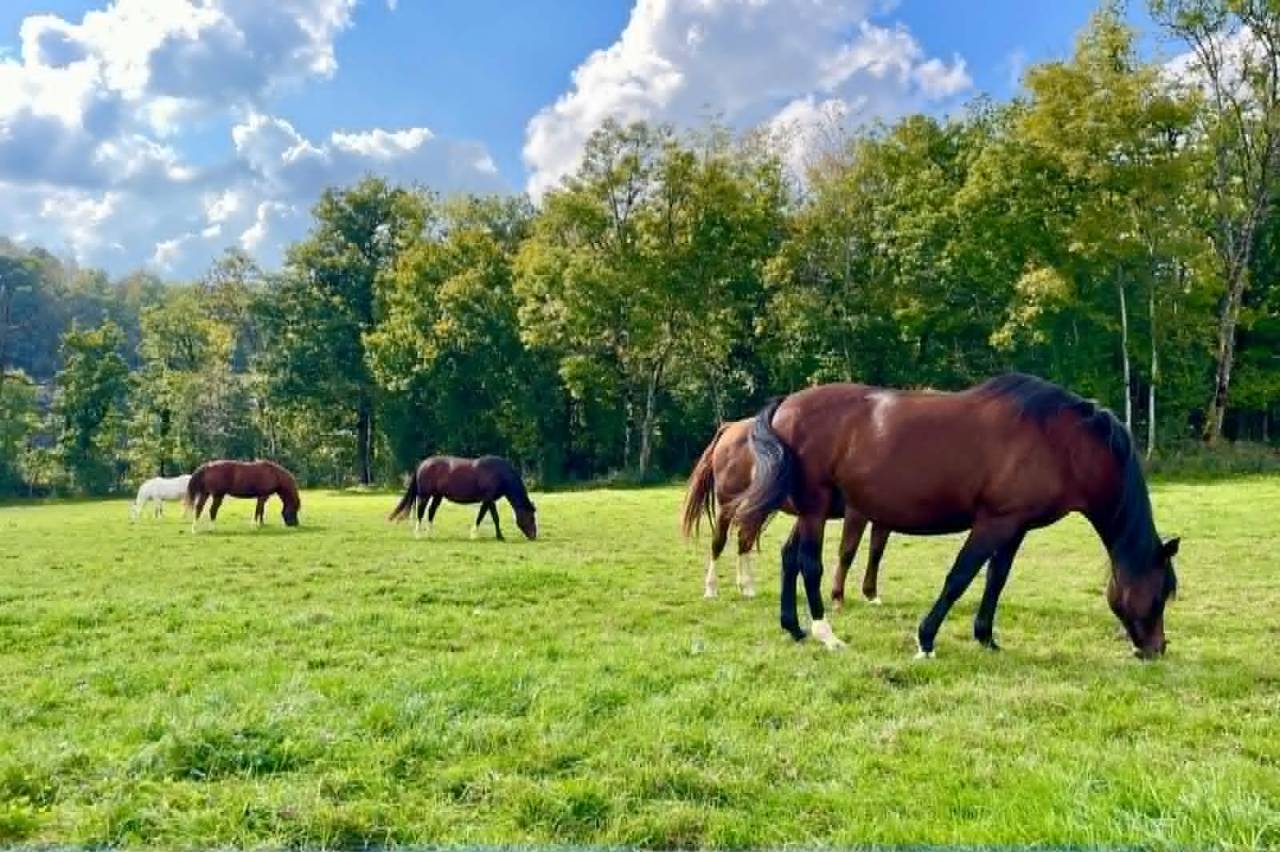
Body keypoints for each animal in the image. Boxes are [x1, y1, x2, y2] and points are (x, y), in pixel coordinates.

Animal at [388, 455, 537, 541]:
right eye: (531, 517)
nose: (534, 536)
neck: (499, 473)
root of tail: (422, 464)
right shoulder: (489, 499)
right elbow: (493, 517)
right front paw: (498, 536)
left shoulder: (487, 500)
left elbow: (481, 516)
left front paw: (475, 534)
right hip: (425, 496)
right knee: (421, 512)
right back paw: (418, 535)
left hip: (438, 496)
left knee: (431, 512)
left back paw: (430, 534)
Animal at [682, 417, 892, 602]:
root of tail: (731, 427)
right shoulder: (856, 513)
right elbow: (848, 551)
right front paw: (839, 597)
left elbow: (876, 552)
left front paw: (871, 595)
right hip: (727, 503)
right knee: (718, 542)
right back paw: (711, 589)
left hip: (757, 508)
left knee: (744, 541)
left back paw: (747, 587)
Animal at [734, 373, 1179, 659]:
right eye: (1160, 594)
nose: (1156, 649)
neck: (1063, 444)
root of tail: (786, 406)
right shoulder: (993, 523)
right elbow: (959, 578)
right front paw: (926, 639)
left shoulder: (1015, 528)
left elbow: (996, 581)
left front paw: (986, 638)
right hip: (815, 508)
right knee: (809, 564)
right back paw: (826, 635)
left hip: (812, 511)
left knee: (789, 558)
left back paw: (794, 627)